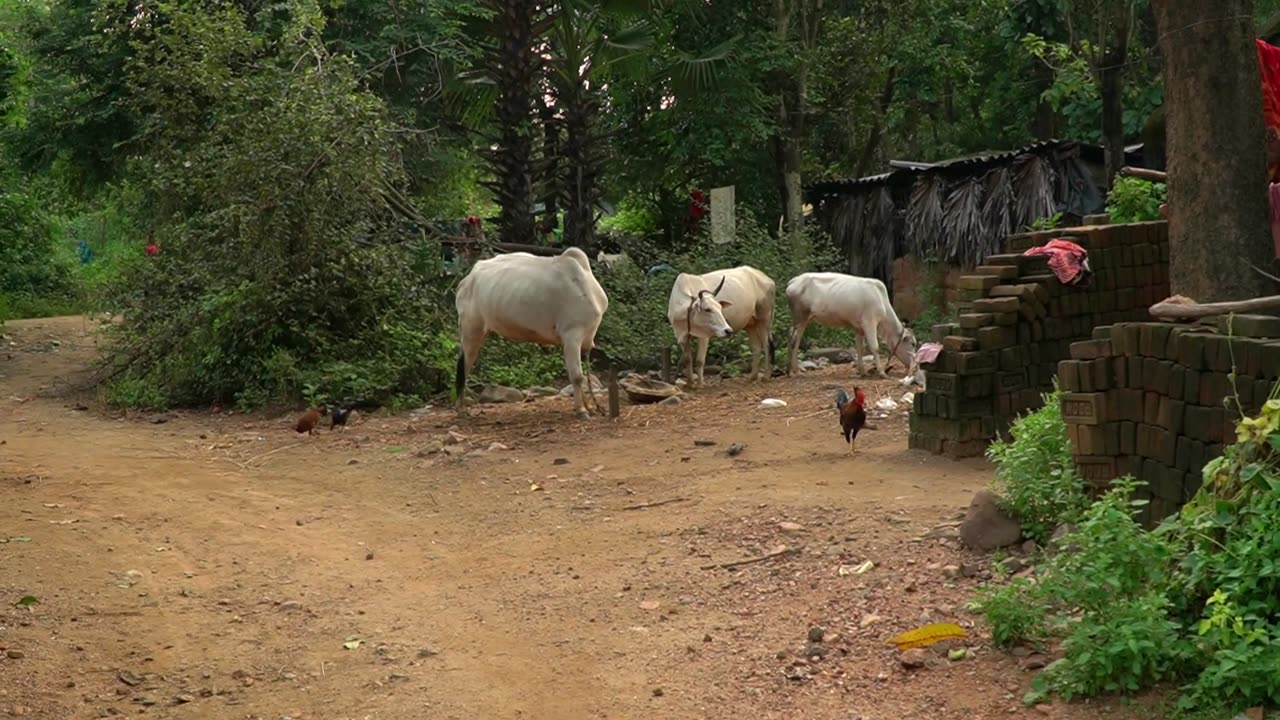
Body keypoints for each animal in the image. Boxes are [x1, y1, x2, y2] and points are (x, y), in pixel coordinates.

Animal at [455, 245, 609, 417]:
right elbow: (577, 376)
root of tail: (468, 278)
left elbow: (585, 376)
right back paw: (461, 409)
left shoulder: (586, 340)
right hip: (471, 329)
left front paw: (590, 408)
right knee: (464, 366)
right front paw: (581, 410)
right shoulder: (571, 335)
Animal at [778, 270, 921, 381]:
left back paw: (794, 370)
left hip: (804, 319)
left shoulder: (859, 328)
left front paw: (862, 371)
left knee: (796, 339)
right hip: (799, 317)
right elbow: (874, 347)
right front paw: (882, 373)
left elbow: (860, 348)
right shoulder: (870, 322)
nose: (914, 366)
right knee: (793, 338)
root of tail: (793, 281)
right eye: (913, 344)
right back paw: (790, 371)